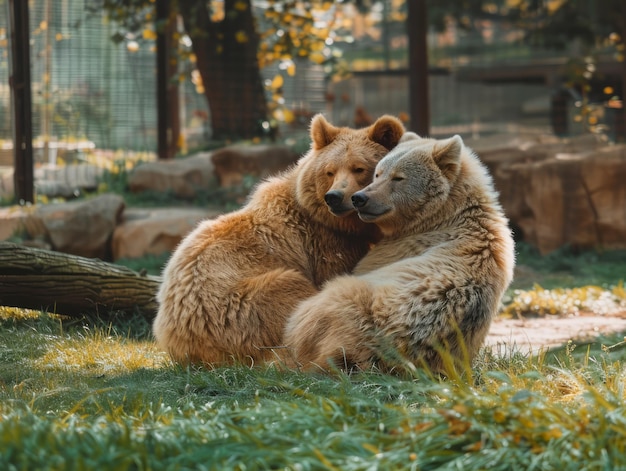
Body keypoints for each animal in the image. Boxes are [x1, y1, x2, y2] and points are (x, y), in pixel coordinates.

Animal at [282, 133, 512, 376]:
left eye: (398, 177)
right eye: (378, 173)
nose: (359, 198)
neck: (447, 214)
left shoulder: (397, 248)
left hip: (344, 305)